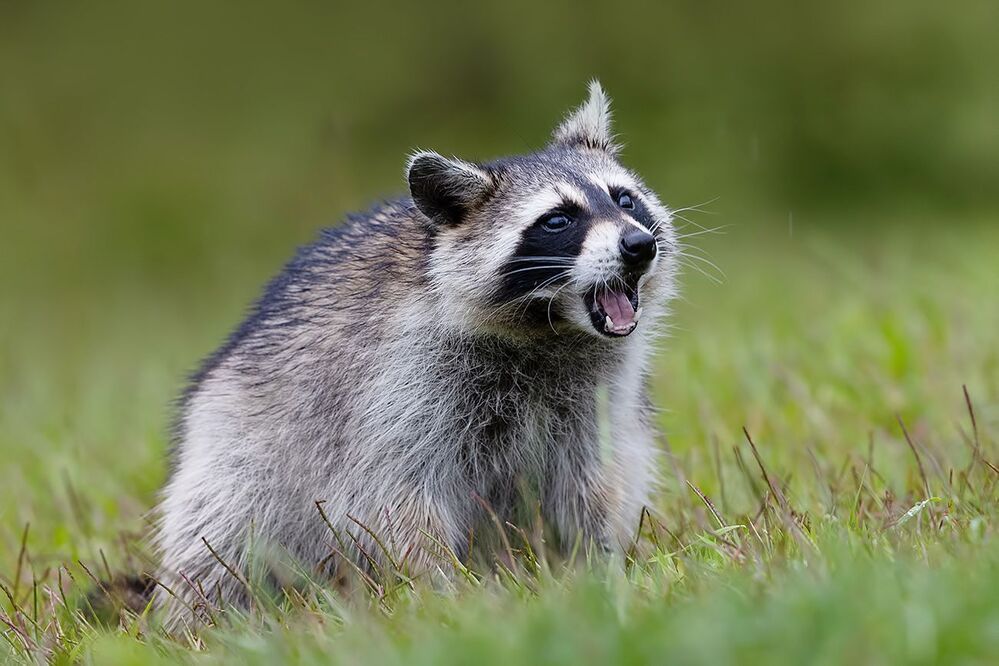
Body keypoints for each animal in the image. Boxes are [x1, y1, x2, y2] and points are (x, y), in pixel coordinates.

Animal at [155, 82, 678, 626]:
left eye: (625, 199)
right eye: (557, 220)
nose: (639, 245)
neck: (547, 329)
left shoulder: (595, 397)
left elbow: (592, 479)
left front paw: (599, 564)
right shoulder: (397, 385)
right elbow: (392, 497)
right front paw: (442, 590)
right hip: (232, 441)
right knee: (223, 531)